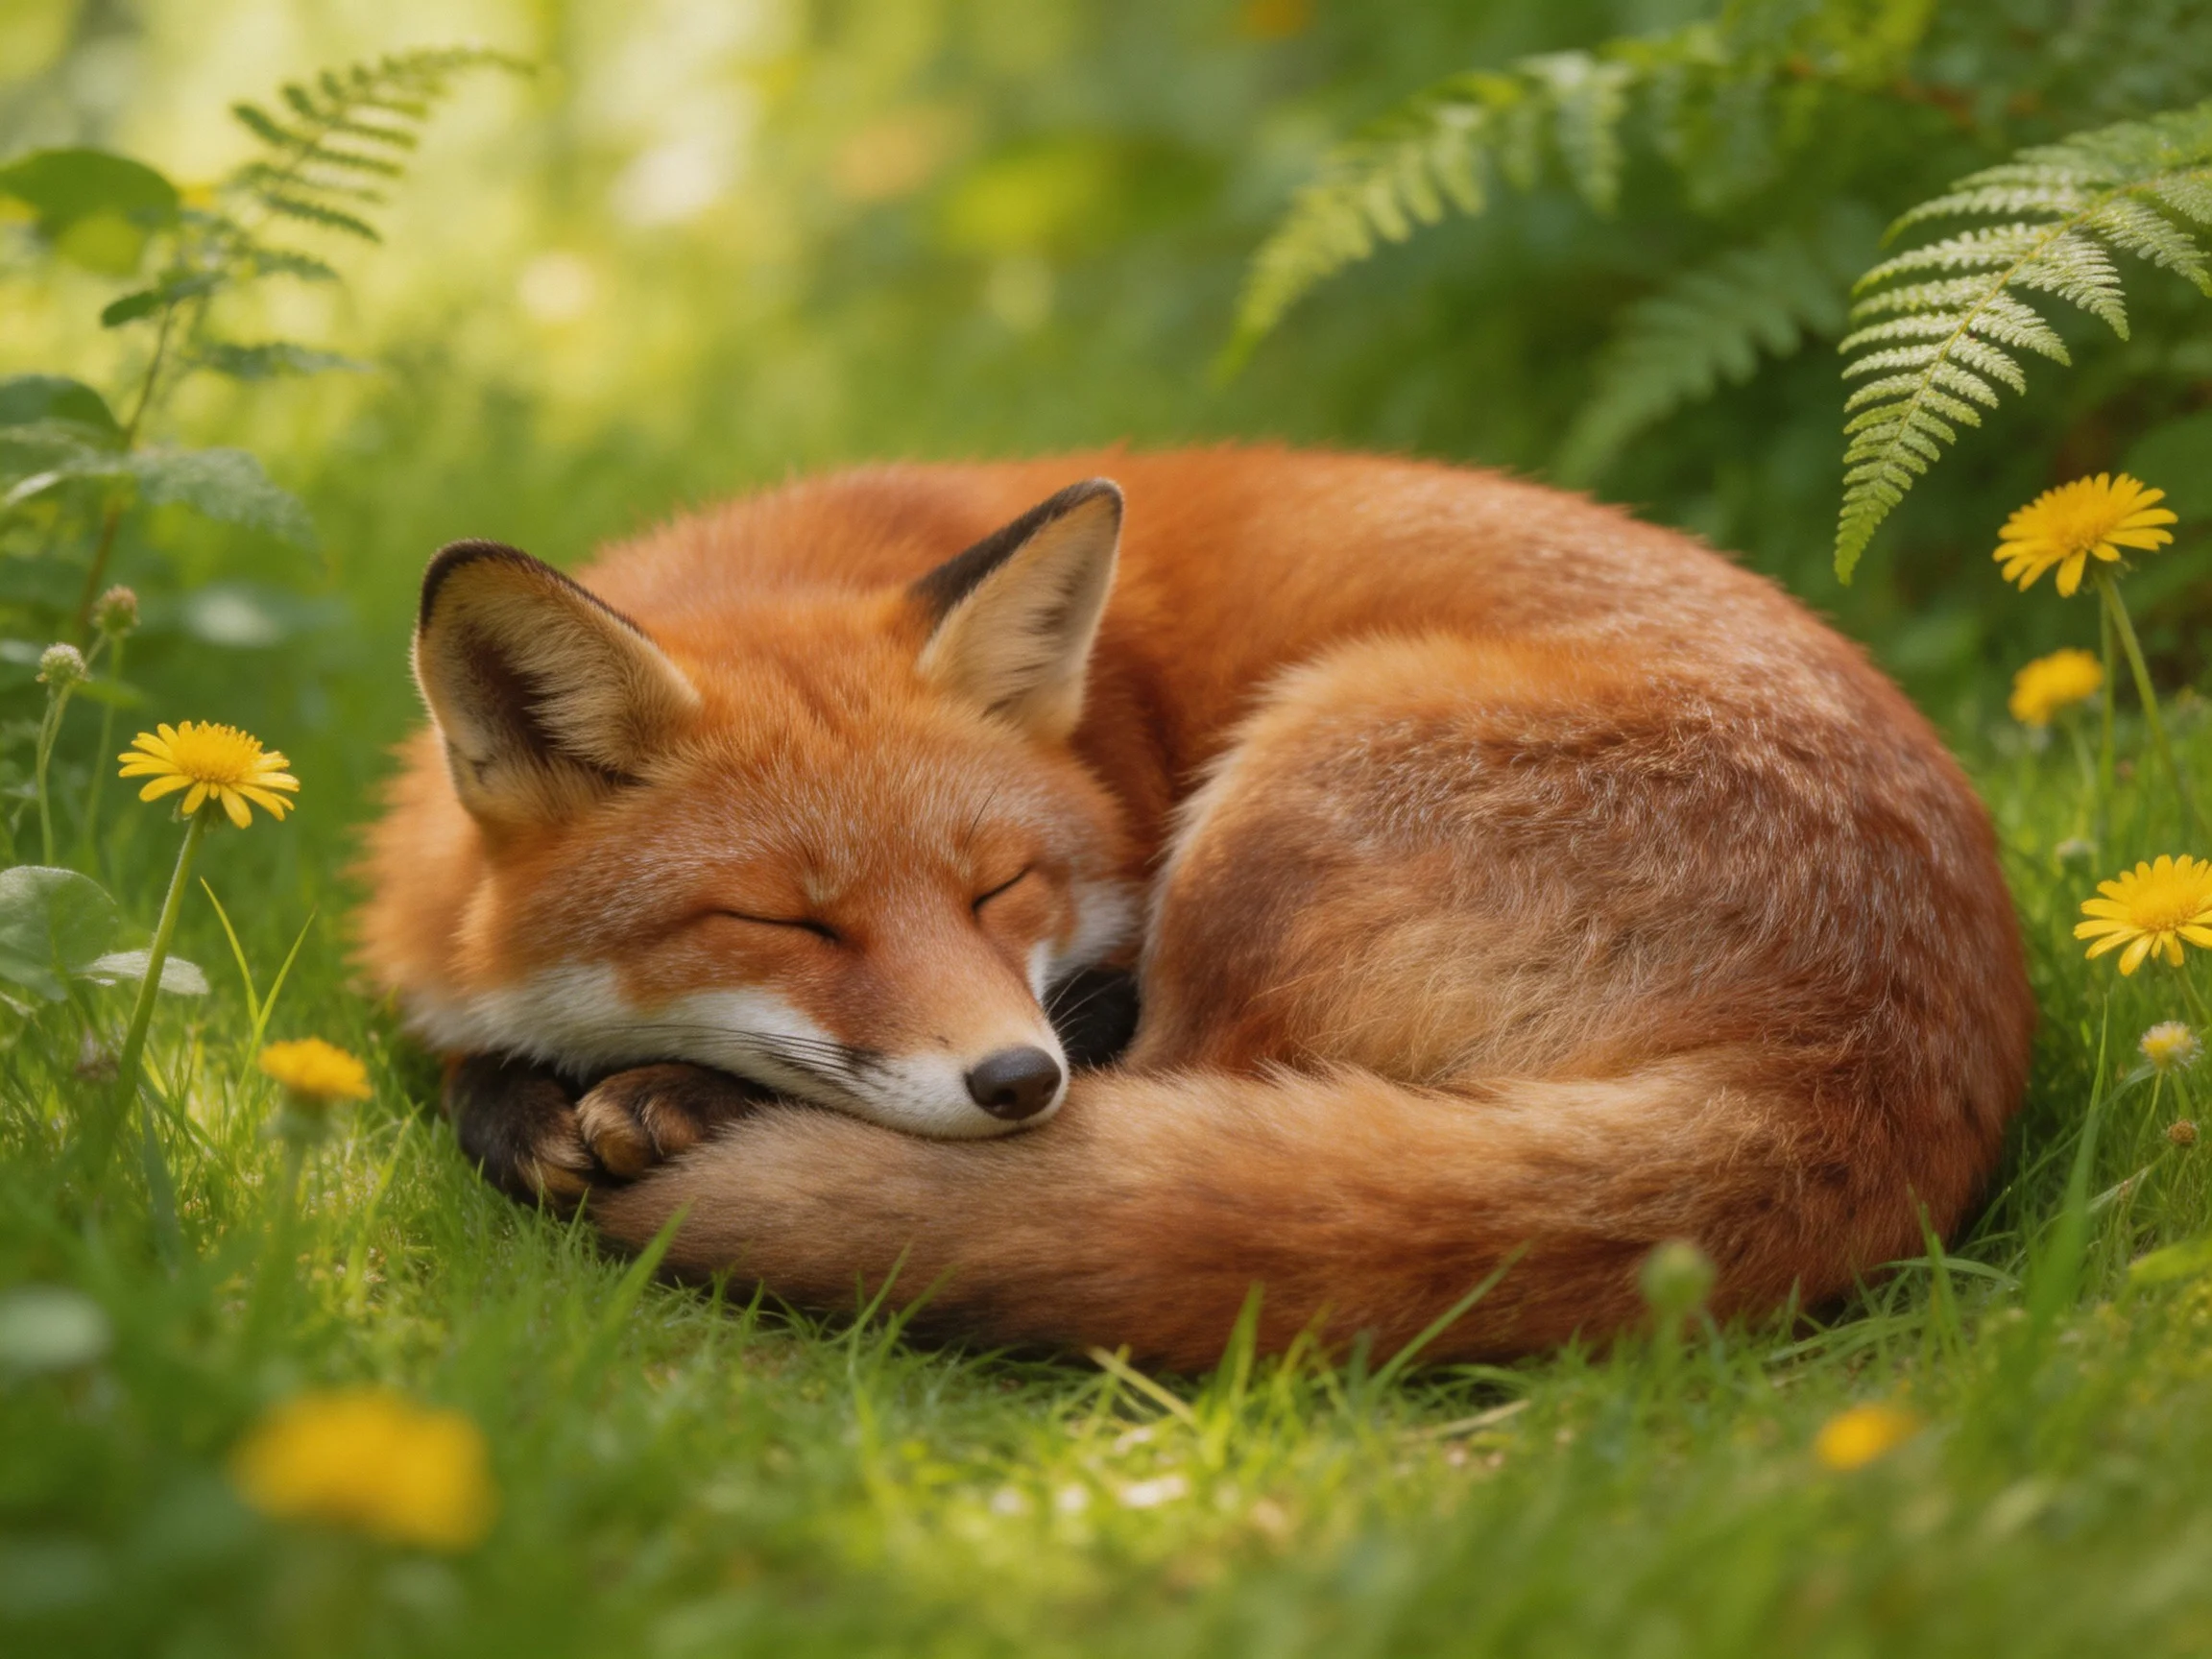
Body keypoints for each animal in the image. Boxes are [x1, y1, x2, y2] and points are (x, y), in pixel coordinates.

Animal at [359, 446, 2034, 1369]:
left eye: (998, 886)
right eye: (791, 925)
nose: (1012, 1083)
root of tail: (1867, 1063)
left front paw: (640, 1101)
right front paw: (516, 1094)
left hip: (1274, 809)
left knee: (1175, 1084)